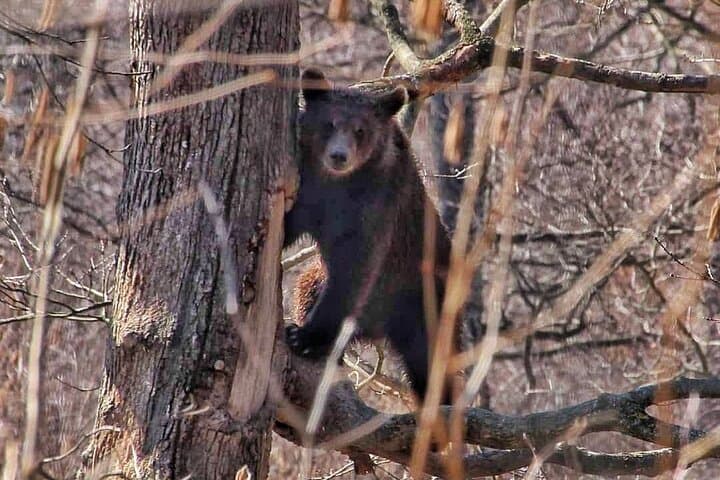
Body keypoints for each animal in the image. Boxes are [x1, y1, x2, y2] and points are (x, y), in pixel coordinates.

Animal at [283, 69, 453, 401]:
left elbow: (354, 268)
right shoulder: (310, 190)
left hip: (424, 293)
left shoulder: (376, 205)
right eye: (329, 123)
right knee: (307, 286)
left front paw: (306, 337)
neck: (341, 183)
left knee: (431, 356)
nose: (339, 156)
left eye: (360, 130)